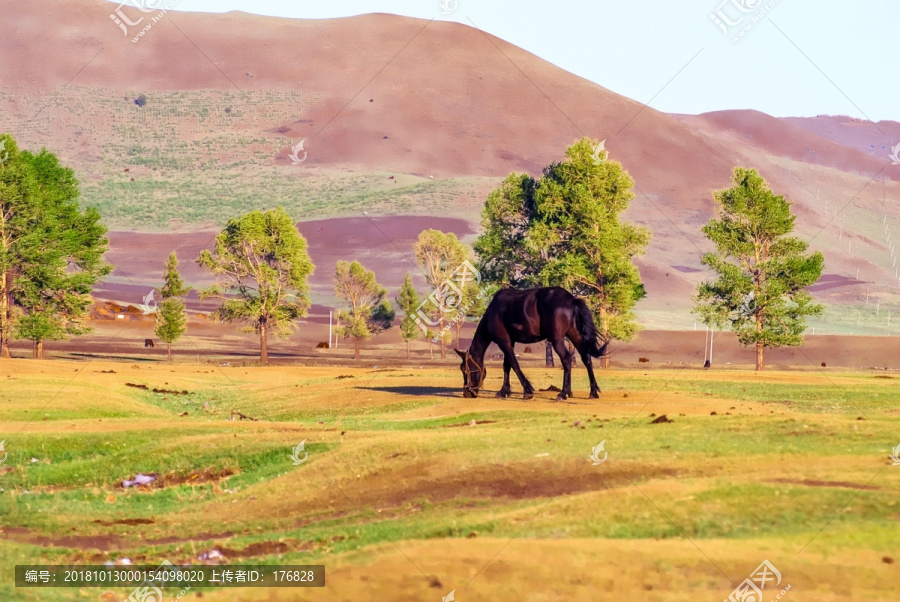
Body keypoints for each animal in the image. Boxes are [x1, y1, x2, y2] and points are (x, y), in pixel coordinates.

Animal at [454, 286, 608, 398]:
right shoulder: (510, 342)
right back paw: (592, 391)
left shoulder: (504, 342)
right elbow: (507, 366)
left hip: (557, 339)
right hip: (575, 336)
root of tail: (571, 299)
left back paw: (563, 393)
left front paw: (527, 390)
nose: (467, 392)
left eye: (464, 369)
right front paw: (504, 391)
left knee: (566, 359)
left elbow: (514, 364)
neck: (493, 312)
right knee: (586, 358)